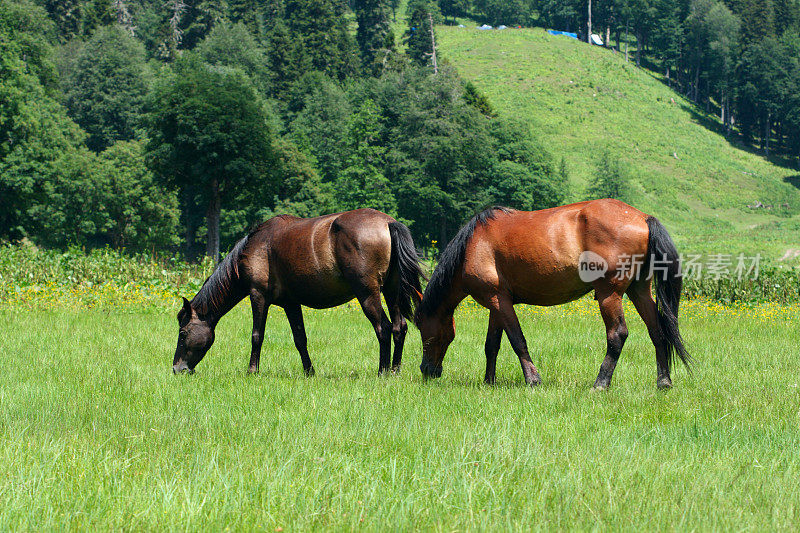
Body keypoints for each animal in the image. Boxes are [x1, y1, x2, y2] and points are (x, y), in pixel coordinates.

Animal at [173, 208, 428, 374]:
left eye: (183, 333)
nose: (177, 368)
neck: (255, 247)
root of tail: (388, 223)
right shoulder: (291, 304)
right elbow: (300, 338)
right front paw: (309, 371)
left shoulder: (258, 296)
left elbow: (257, 335)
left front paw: (252, 371)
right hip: (392, 291)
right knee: (399, 327)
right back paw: (394, 370)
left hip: (368, 294)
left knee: (383, 328)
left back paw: (382, 372)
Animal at [416, 197, 692, 388]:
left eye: (423, 331)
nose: (427, 370)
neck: (474, 245)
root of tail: (643, 218)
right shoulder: (497, 302)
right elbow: (492, 344)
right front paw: (488, 381)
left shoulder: (498, 301)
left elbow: (517, 340)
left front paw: (533, 379)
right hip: (639, 290)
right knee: (657, 331)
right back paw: (663, 381)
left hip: (609, 294)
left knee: (617, 335)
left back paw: (600, 384)